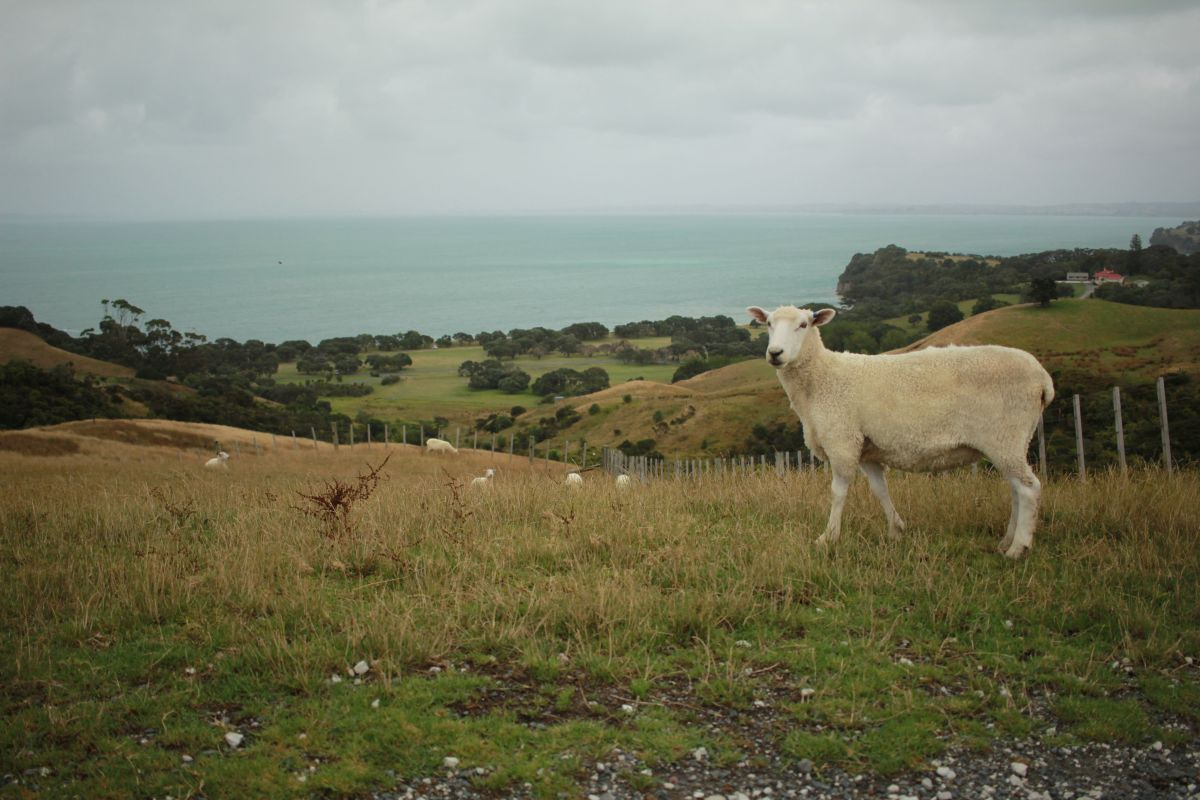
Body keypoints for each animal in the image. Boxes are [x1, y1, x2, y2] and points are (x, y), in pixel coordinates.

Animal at [747, 304, 1054, 559]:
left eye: (803, 324)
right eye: (769, 324)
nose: (775, 353)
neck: (821, 379)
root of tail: (1042, 379)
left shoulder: (843, 441)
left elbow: (838, 492)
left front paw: (828, 537)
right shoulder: (867, 449)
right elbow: (880, 490)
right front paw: (896, 531)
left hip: (1006, 435)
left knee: (1029, 489)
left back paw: (1017, 548)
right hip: (1011, 440)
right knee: (1016, 489)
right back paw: (1006, 541)